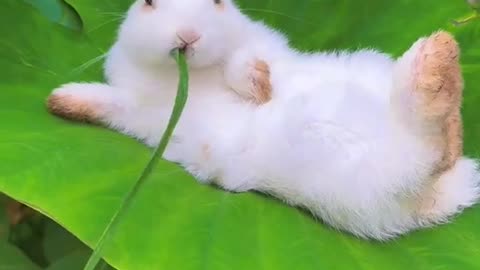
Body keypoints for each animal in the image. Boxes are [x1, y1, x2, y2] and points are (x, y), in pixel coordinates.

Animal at [47, 0, 480, 240]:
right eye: (149, 2)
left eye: (218, 0)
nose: (188, 36)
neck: (190, 75)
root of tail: (446, 194)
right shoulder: (136, 108)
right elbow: (108, 103)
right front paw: (60, 101)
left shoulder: (266, 45)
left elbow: (249, 61)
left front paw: (257, 86)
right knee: (431, 151)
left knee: (433, 141)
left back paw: (438, 58)